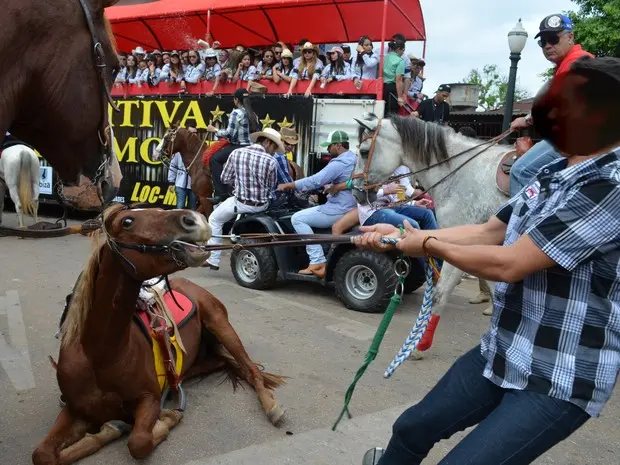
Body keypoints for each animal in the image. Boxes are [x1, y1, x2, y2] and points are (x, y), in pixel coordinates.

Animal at [33, 205, 286, 462]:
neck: (100, 357)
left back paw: (272, 408)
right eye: (127, 221)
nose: (195, 219)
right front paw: (106, 431)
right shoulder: (75, 410)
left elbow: (138, 442)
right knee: (230, 364)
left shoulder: (150, 399)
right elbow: (42, 454)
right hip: (196, 363)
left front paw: (164, 419)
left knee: (251, 370)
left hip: (222, 325)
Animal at [352, 113, 512, 358]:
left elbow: (439, 293)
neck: (460, 173)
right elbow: (496, 294)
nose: (355, 191)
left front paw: (420, 346)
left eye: (363, 151)